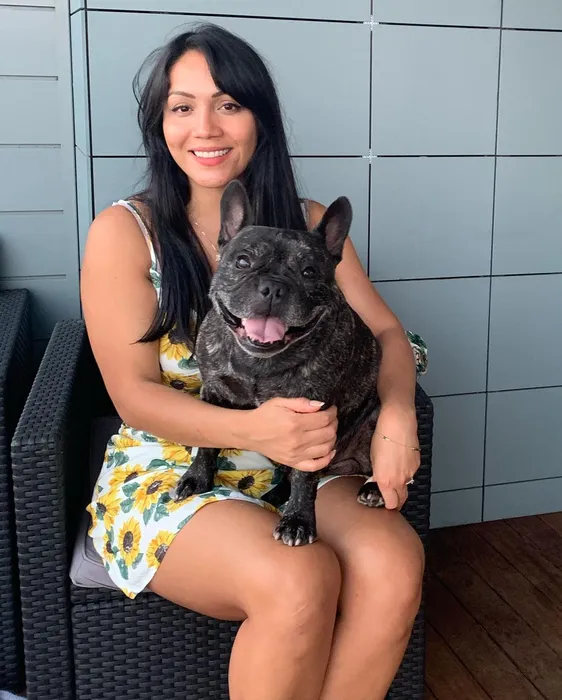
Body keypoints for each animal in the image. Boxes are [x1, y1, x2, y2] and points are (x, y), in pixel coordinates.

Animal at [175, 180, 385, 545]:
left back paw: (374, 489)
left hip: (371, 422)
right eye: (243, 261)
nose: (273, 286)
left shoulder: (312, 418)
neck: (257, 362)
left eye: (309, 271)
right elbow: (206, 443)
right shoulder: (213, 391)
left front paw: (298, 520)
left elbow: (304, 475)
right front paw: (197, 478)